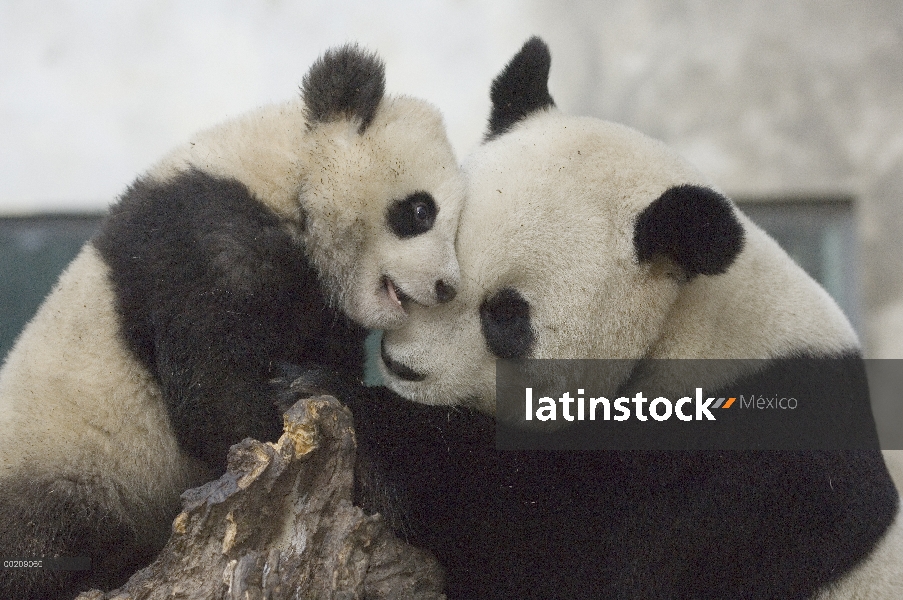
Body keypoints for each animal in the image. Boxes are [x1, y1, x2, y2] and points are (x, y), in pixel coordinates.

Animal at [0, 43, 462, 600]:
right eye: (420, 211)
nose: (447, 287)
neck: (285, 174)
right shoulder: (199, 239)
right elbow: (215, 397)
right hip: (64, 460)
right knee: (43, 534)